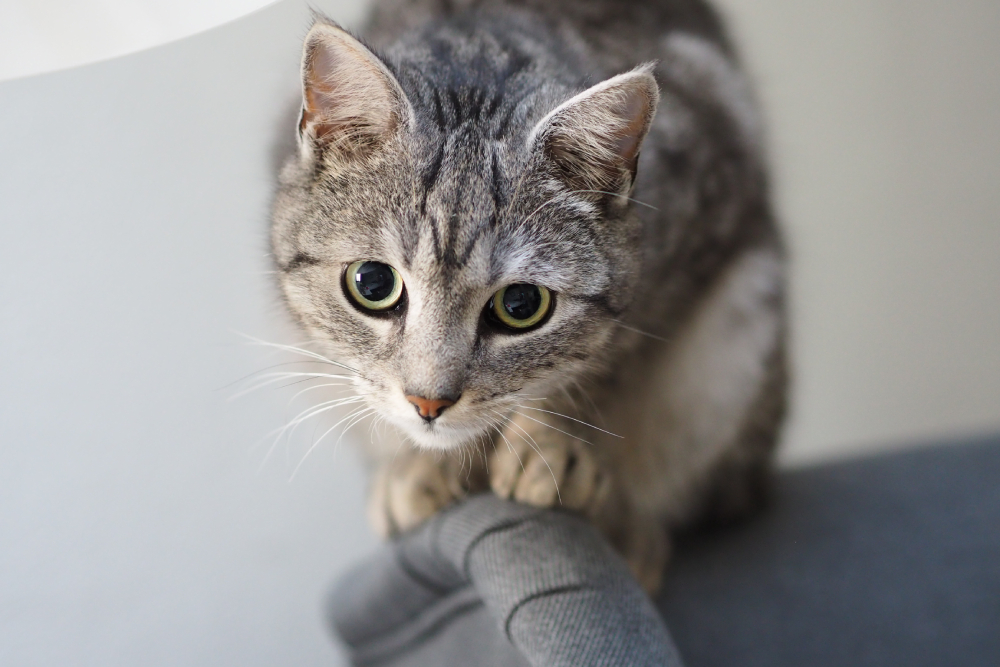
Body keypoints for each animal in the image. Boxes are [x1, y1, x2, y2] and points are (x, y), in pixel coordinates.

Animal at [270, 0, 784, 596]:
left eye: (521, 306)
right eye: (372, 284)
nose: (428, 404)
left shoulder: (695, 236)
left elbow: (607, 363)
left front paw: (554, 443)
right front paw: (421, 466)